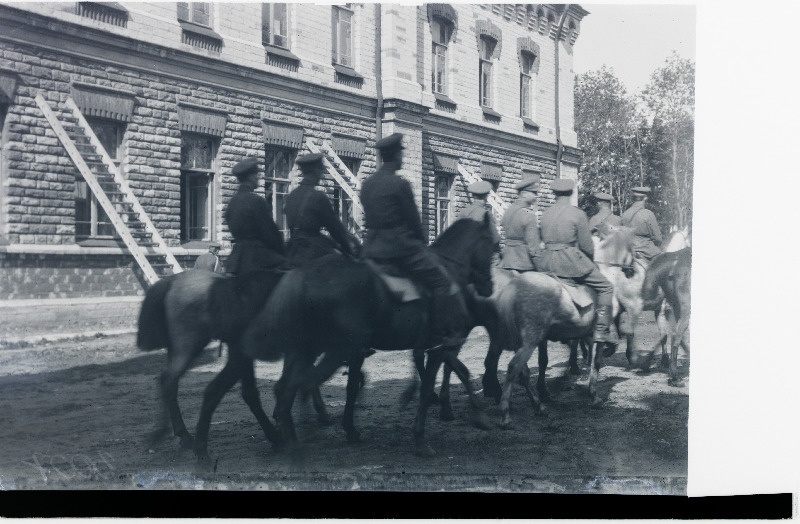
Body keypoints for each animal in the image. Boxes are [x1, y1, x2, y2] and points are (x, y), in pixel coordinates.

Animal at [241, 215, 496, 456]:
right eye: (494, 247)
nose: (489, 288)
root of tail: (303, 275)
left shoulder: (426, 347)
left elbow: (356, 385)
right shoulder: (441, 346)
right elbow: (439, 380)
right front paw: (424, 437)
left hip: (306, 348)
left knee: (286, 388)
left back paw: (289, 436)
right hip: (334, 349)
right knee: (301, 383)